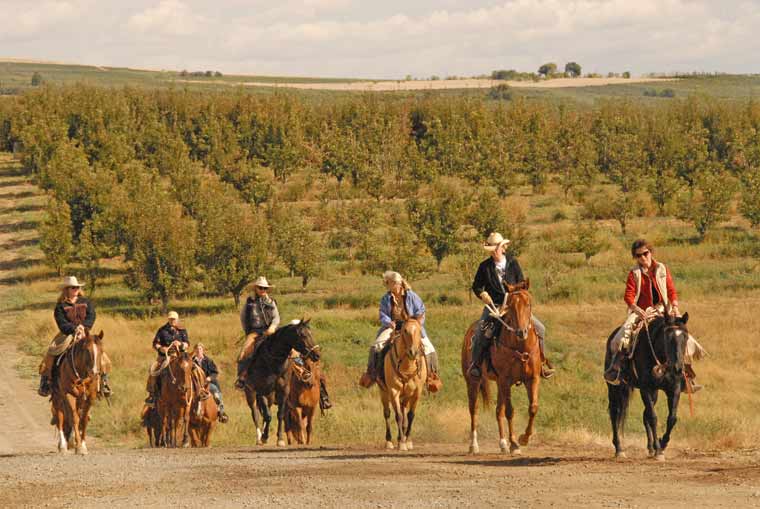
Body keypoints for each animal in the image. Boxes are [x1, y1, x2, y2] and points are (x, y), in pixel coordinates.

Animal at [380, 316, 428, 450]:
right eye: (405, 331)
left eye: (419, 330)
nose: (413, 352)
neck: (408, 366)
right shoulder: (393, 391)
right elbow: (398, 416)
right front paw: (402, 443)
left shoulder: (417, 392)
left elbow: (410, 415)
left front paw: (408, 440)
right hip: (384, 392)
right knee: (387, 413)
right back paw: (389, 441)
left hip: (406, 396)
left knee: (403, 411)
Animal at [460, 280, 544, 454]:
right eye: (510, 305)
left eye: (528, 303)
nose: (521, 332)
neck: (520, 347)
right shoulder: (506, 380)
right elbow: (510, 411)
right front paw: (515, 444)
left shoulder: (532, 379)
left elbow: (533, 407)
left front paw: (524, 438)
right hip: (473, 381)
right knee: (474, 410)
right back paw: (474, 445)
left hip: (499, 384)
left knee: (498, 411)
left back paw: (503, 443)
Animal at [604, 310, 688, 460]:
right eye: (667, 338)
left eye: (686, 337)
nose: (678, 368)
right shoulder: (645, 389)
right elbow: (653, 417)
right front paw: (659, 451)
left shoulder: (674, 389)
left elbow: (671, 418)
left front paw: (662, 444)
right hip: (614, 388)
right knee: (615, 413)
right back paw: (619, 449)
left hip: (654, 392)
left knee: (644, 415)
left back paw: (650, 447)